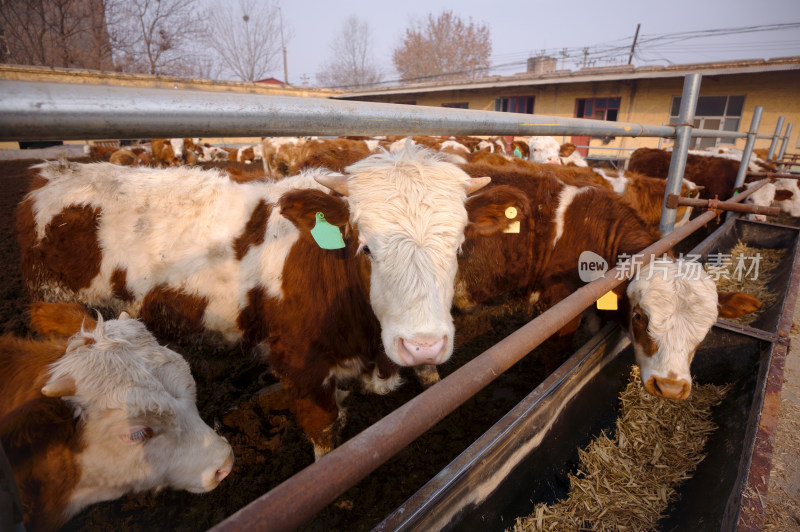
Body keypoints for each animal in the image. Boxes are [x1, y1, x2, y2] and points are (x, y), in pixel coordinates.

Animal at [15, 145, 500, 458]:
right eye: (365, 246)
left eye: (458, 246)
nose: (422, 345)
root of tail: (55, 172)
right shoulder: (302, 369)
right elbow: (326, 440)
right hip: (56, 309)